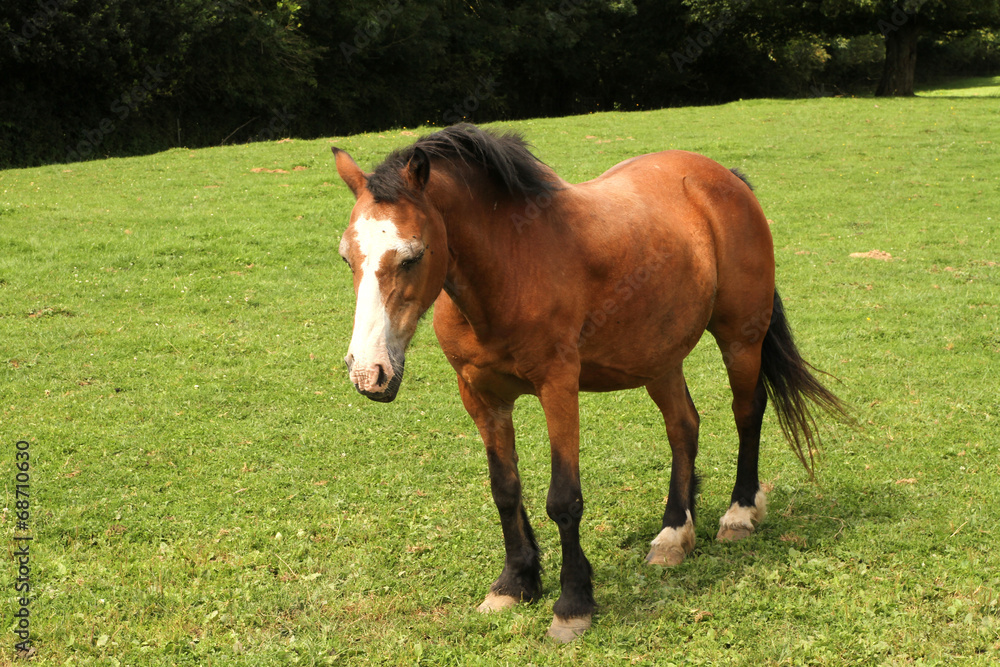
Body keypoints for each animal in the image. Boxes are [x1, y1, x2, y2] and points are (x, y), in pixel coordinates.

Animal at [332, 123, 844, 642]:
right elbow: (504, 489)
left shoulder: (558, 387)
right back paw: (673, 534)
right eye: (347, 257)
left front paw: (572, 604)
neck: (510, 264)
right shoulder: (480, 396)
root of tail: (726, 179)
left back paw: (740, 513)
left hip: (740, 338)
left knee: (747, 412)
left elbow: (564, 499)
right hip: (660, 358)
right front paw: (514, 583)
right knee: (683, 427)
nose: (368, 371)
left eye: (412, 257)